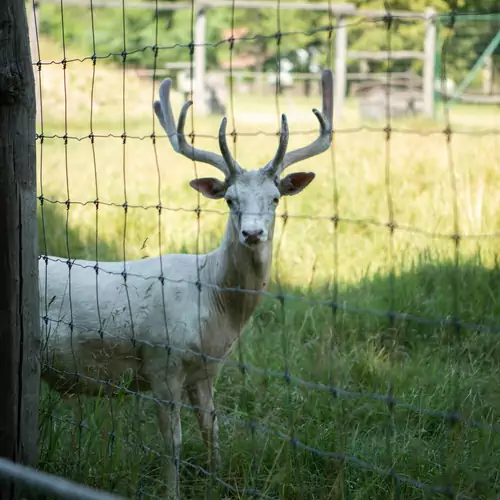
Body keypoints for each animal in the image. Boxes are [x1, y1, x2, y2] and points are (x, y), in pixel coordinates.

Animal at [41, 68, 334, 498]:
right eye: (229, 199)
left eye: (276, 198)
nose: (252, 233)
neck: (213, 302)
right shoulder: (161, 361)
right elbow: (173, 442)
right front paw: (173, 491)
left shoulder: (207, 368)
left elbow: (211, 428)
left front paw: (217, 479)